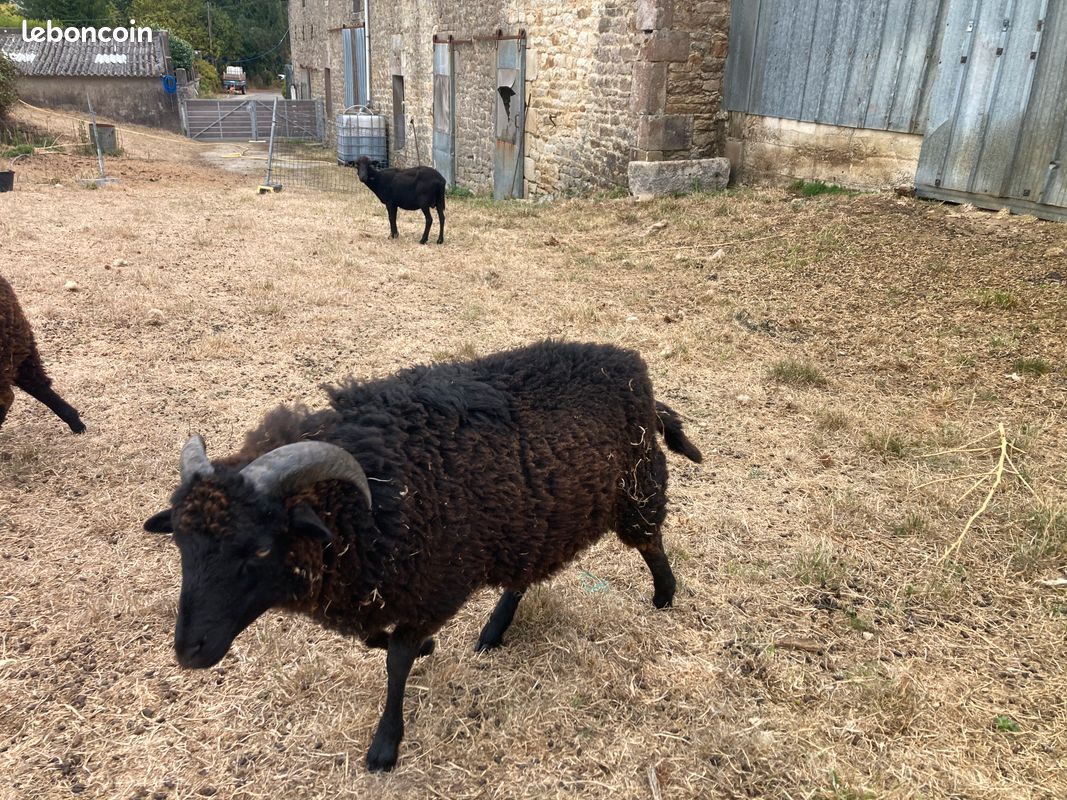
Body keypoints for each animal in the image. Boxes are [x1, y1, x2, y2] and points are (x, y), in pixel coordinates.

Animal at [143, 340, 701, 772]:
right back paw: (494, 631)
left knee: (651, 542)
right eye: (181, 546)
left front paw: (385, 747)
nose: (189, 651)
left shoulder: (433, 585)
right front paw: (426, 651)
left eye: (259, 547)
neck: (369, 497)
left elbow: (396, 659)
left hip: (636, 486)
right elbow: (381, 641)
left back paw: (664, 594)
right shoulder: (383, 588)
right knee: (523, 574)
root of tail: (632, 365)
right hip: (532, 520)